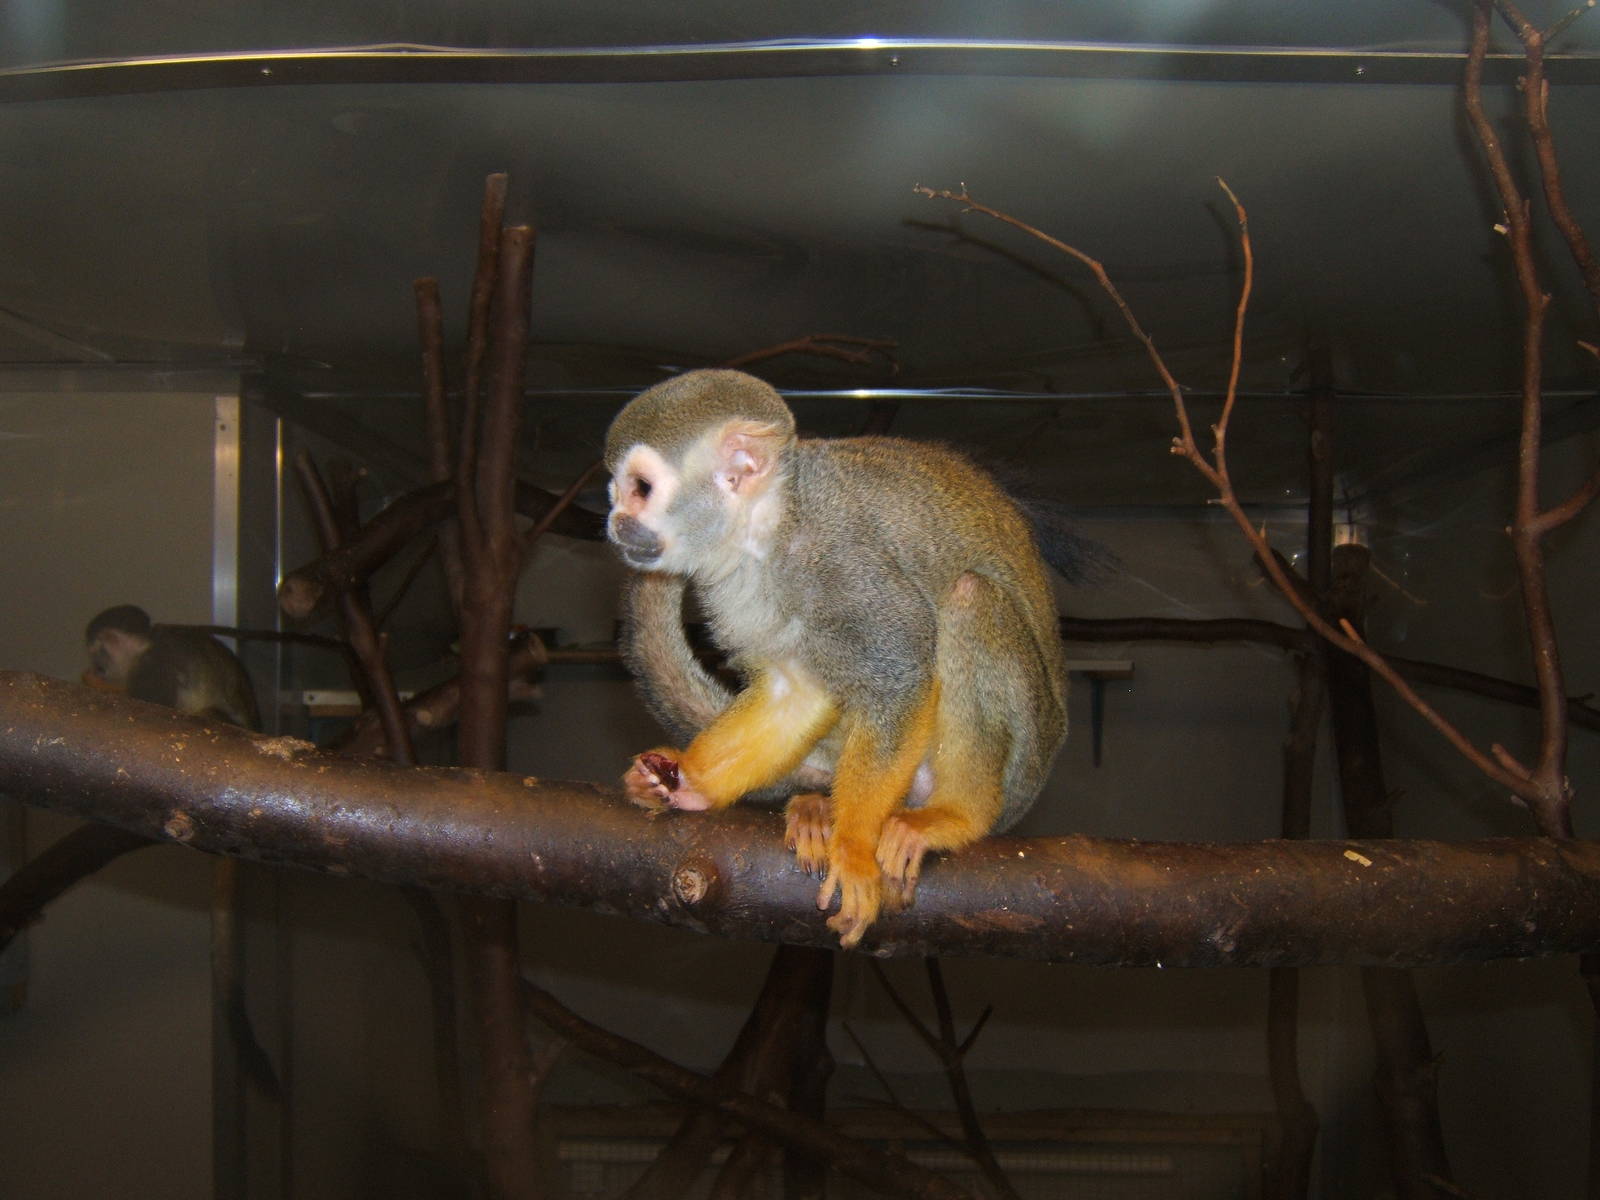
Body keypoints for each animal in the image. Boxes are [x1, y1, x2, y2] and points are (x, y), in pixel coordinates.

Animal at [605, 369, 1067, 947]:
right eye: (616, 490)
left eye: (641, 489)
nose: (616, 521)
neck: (772, 528)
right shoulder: (735, 585)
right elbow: (794, 691)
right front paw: (690, 782)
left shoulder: (844, 562)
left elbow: (901, 671)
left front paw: (852, 849)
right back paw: (817, 805)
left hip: (1024, 763)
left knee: (970, 597)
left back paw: (956, 816)